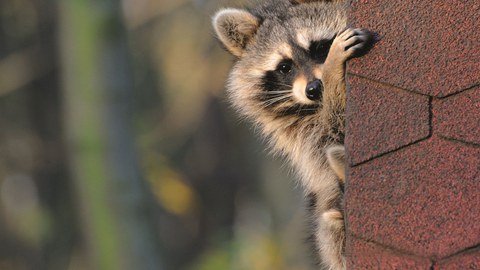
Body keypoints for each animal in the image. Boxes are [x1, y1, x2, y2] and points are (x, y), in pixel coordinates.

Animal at [214, 1, 376, 268]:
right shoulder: (302, 135)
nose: (315, 89)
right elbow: (331, 133)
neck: (314, 106)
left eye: (320, 47)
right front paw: (333, 72)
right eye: (284, 67)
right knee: (329, 226)